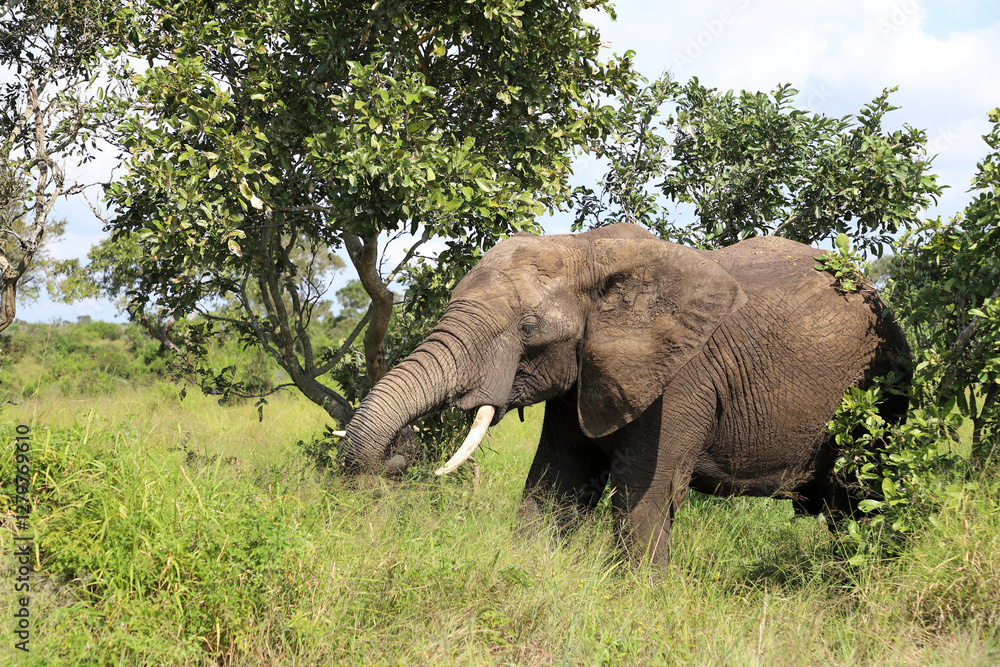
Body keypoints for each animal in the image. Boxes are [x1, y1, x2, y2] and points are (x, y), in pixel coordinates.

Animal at [339, 223, 911, 567]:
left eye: (528, 328)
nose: (397, 457)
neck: (586, 252)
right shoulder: (584, 374)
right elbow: (555, 481)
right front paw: (531, 570)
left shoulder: (680, 379)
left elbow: (643, 495)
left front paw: (641, 602)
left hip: (880, 392)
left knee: (860, 498)